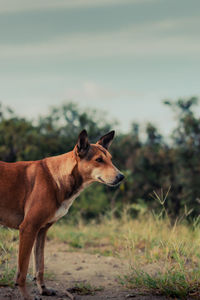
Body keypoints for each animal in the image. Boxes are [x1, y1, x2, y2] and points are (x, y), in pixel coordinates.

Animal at [0, 129, 124, 300]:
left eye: (111, 159)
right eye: (99, 160)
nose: (121, 177)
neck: (54, 178)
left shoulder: (41, 231)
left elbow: (40, 265)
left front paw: (43, 289)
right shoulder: (28, 228)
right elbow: (22, 272)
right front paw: (27, 296)